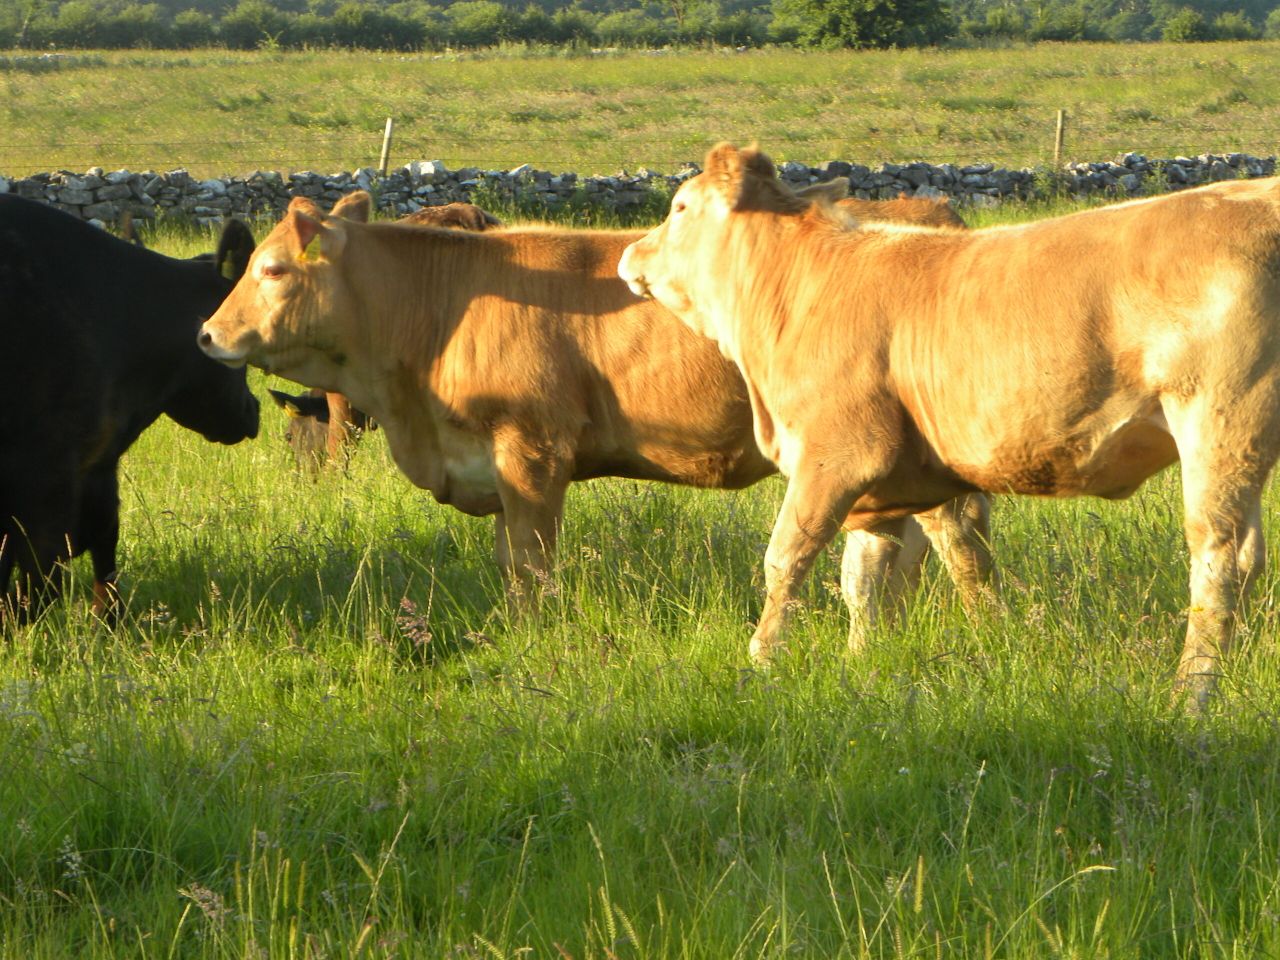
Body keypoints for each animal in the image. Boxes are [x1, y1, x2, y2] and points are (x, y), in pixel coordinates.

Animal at [197, 191, 994, 641]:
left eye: (273, 269)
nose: (206, 334)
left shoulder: (532, 453)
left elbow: (531, 565)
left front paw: (531, 641)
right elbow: (509, 562)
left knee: (961, 544)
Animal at [619, 141, 1280, 708]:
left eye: (680, 207)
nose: (630, 256)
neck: (798, 290)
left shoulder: (837, 453)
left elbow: (786, 560)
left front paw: (760, 661)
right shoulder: (888, 486)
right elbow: (871, 580)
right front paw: (863, 666)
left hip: (1220, 422)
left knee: (1222, 562)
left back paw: (1191, 697)